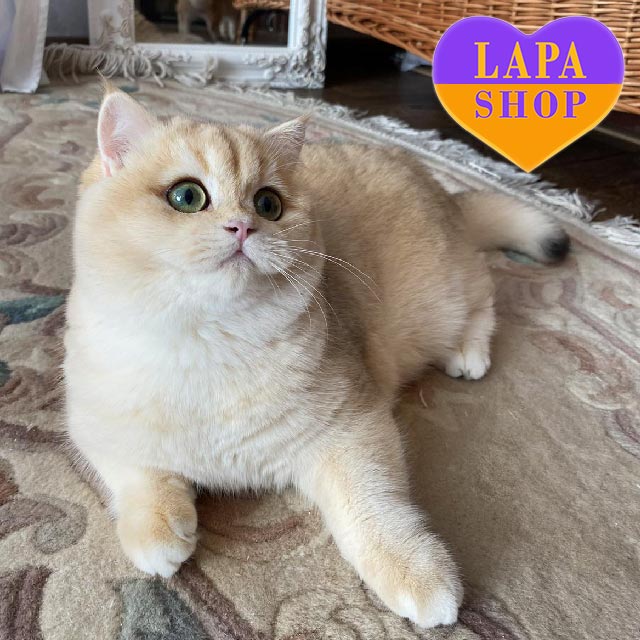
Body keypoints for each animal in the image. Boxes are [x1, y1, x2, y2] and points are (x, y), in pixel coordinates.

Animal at [64, 87, 569, 629]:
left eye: (268, 204)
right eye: (187, 197)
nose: (244, 227)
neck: (206, 341)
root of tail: (437, 186)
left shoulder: (353, 429)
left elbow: (372, 511)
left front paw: (418, 575)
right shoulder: (93, 423)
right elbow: (138, 476)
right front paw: (158, 532)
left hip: (446, 294)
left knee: (485, 301)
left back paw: (468, 354)